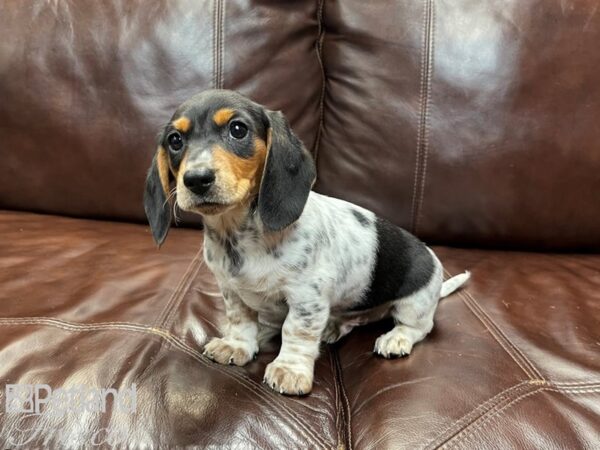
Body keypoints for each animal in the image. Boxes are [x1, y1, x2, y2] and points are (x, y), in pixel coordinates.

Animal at [144, 89, 468, 396]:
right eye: (175, 140)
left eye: (238, 129)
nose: (196, 179)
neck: (239, 234)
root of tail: (434, 266)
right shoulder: (231, 290)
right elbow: (241, 319)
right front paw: (238, 345)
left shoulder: (305, 298)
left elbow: (295, 332)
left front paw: (290, 369)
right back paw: (333, 327)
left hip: (415, 303)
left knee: (418, 327)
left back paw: (395, 338)